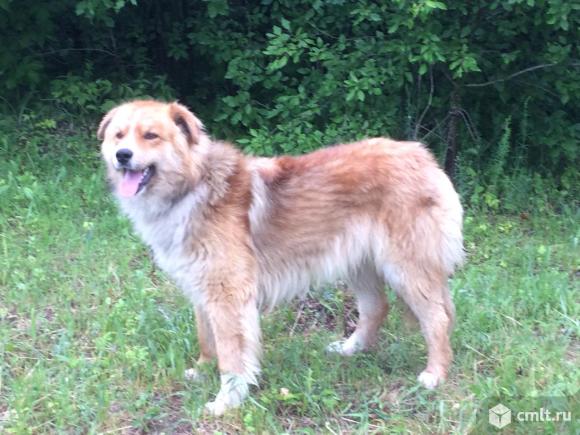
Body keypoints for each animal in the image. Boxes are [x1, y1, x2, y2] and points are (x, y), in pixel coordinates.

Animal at [98, 100, 464, 415]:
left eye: (151, 135)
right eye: (119, 135)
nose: (122, 155)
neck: (193, 186)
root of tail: (422, 155)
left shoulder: (227, 296)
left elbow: (231, 354)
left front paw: (227, 400)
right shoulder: (203, 289)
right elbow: (207, 338)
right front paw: (202, 370)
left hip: (407, 269)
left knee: (437, 318)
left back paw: (435, 374)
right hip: (358, 264)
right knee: (377, 308)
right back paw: (351, 349)